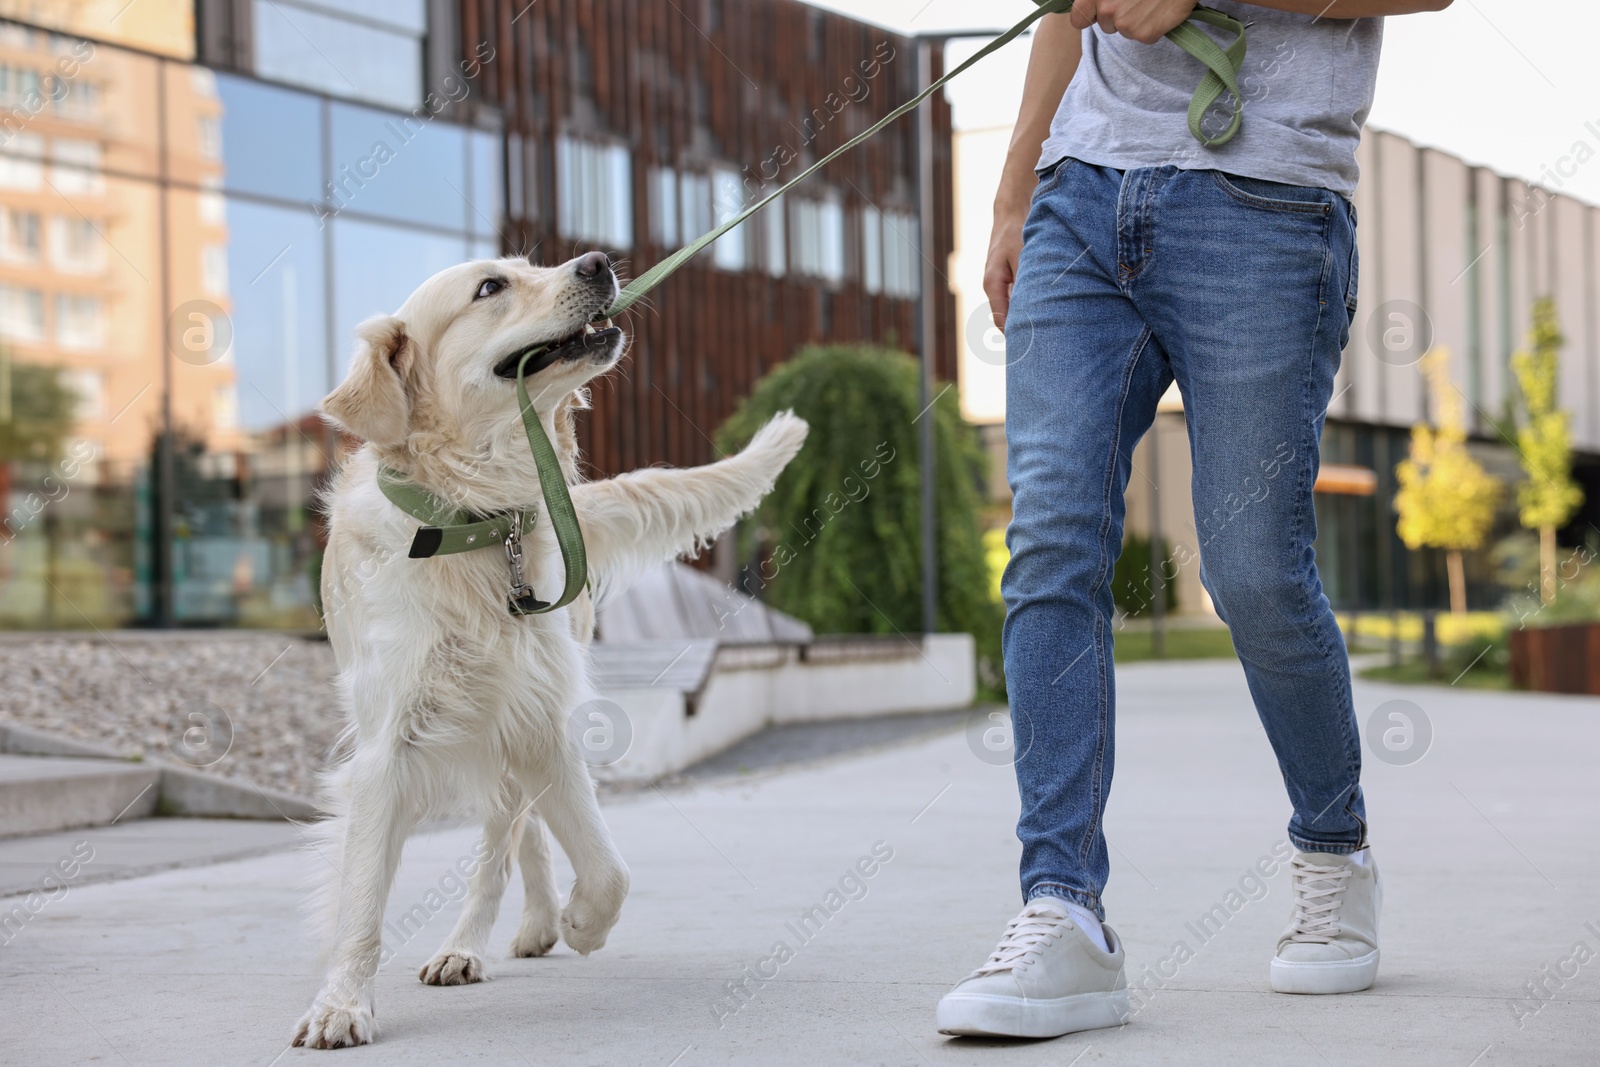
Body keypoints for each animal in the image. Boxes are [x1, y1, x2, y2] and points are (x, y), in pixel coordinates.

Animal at [292, 252, 806, 1049]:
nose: (598, 261)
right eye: (490, 287)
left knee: (508, 838)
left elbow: (608, 865)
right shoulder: (389, 749)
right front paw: (342, 1004)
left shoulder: (541, 718)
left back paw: (499, 933)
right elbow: (363, 900)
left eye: (531, 265)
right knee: (518, 832)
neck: (476, 524)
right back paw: (494, 936)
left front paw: (584, 923)